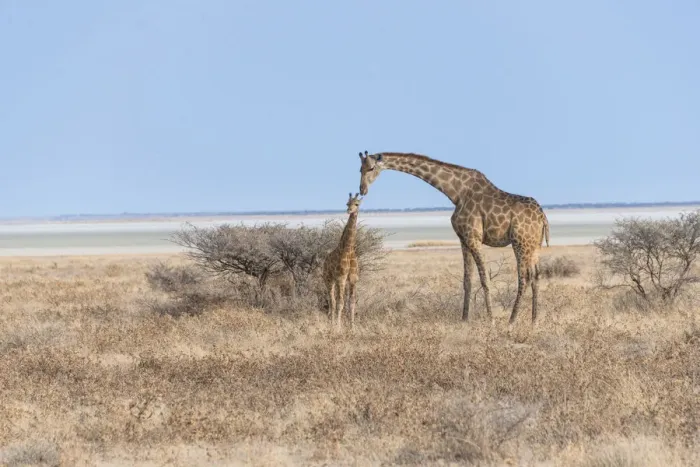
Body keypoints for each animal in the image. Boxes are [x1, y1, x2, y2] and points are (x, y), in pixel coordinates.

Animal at [323, 192, 362, 329]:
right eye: (347, 203)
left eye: (357, 204)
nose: (349, 210)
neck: (348, 251)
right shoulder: (341, 278)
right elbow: (340, 302)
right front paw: (338, 327)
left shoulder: (353, 279)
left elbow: (351, 302)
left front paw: (352, 326)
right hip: (328, 279)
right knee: (332, 300)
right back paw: (332, 322)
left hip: (336, 281)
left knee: (335, 300)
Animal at [358, 151, 550, 325]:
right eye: (360, 169)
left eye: (371, 168)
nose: (362, 190)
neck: (456, 193)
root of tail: (542, 216)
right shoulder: (463, 239)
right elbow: (467, 280)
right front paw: (464, 319)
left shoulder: (473, 237)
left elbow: (484, 279)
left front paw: (491, 320)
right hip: (535, 246)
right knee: (536, 276)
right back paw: (534, 320)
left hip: (520, 242)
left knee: (524, 277)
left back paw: (512, 320)